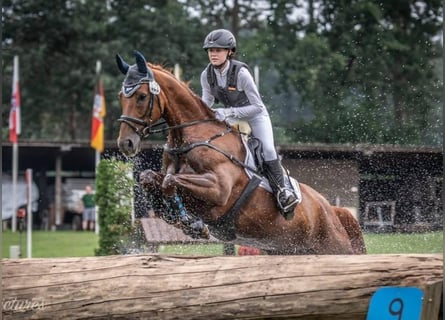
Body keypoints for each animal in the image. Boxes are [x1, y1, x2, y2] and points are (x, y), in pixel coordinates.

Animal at [114, 50, 364, 255]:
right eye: (120, 96)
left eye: (142, 96)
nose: (126, 143)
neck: (189, 140)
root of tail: (332, 210)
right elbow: (150, 177)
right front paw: (174, 215)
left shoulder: (218, 189)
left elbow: (170, 181)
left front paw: (188, 221)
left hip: (334, 247)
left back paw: (288, 197)